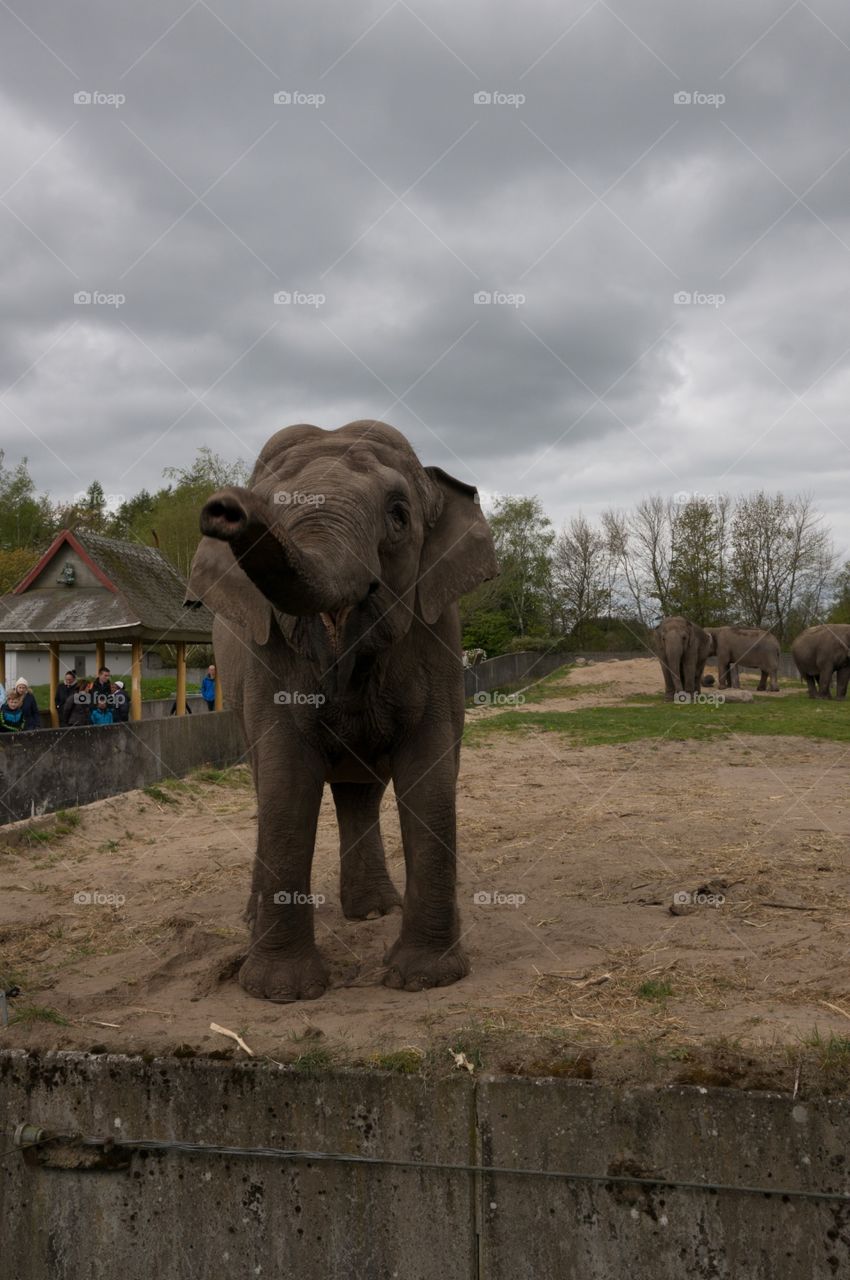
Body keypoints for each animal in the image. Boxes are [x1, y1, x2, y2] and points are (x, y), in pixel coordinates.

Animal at [187, 420, 498, 1002]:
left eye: (399, 515)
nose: (224, 507)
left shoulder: (437, 636)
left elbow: (429, 773)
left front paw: (422, 979)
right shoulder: (267, 658)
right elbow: (286, 780)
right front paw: (280, 992)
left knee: (361, 792)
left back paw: (374, 912)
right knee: (270, 786)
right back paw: (254, 921)